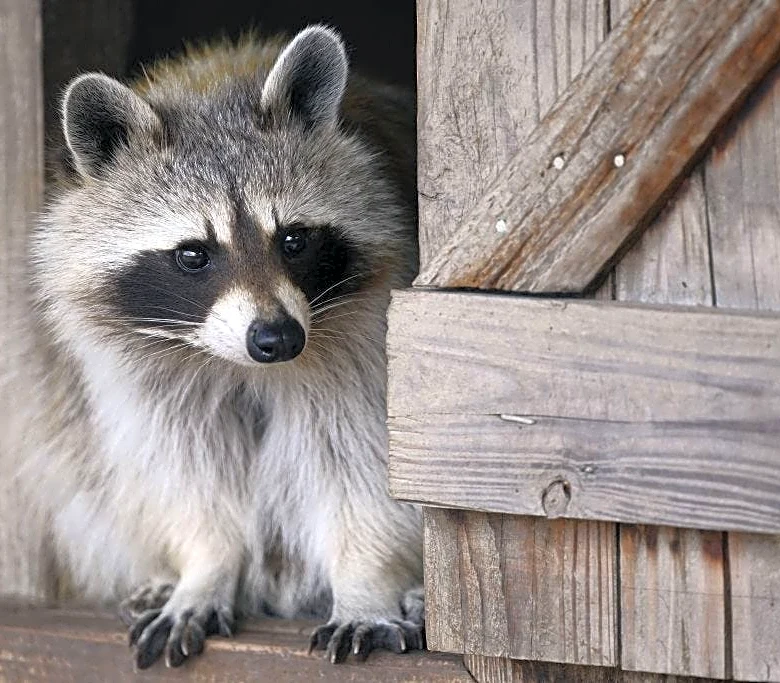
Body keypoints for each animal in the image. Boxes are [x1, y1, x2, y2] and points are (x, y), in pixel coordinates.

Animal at [19, 25, 423, 668]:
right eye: (192, 255)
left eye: (293, 240)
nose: (277, 338)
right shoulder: (138, 372)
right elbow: (186, 470)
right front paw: (204, 566)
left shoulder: (364, 342)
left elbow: (363, 467)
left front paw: (368, 580)